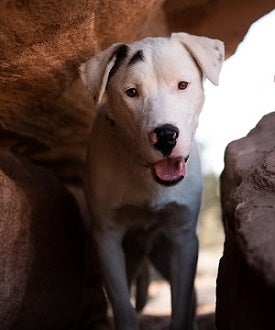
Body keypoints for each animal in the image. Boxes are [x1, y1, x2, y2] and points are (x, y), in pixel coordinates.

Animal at [80, 34, 224, 330]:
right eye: (131, 92)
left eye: (182, 85)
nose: (166, 135)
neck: (146, 174)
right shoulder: (108, 240)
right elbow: (123, 307)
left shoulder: (183, 239)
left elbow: (181, 304)